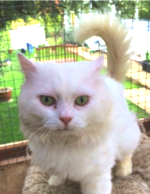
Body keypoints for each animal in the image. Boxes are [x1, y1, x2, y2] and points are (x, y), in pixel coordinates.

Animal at [17, 12, 141, 193]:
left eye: (82, 100)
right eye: (47, 100)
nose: (65, 118)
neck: (65, 146)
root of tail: (111, 80)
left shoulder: (97, 176)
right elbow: (58, 172)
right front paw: (56, 180)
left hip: (127, 137)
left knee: (127, 154)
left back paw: (124, 169)